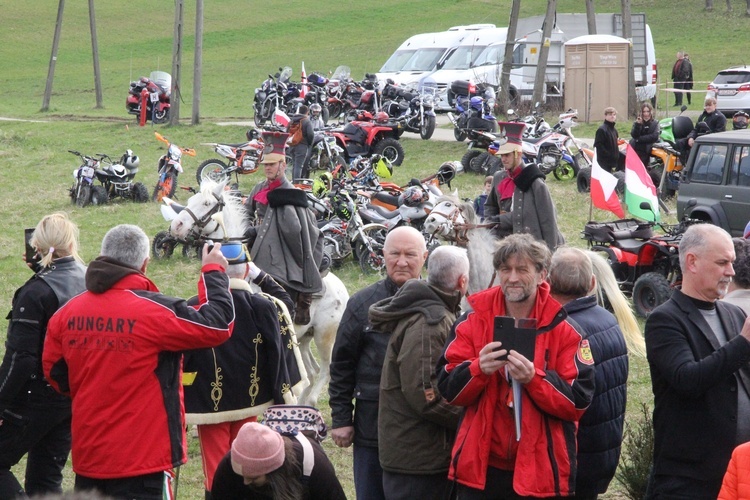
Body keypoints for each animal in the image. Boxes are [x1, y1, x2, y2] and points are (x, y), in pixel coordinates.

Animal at [167, 180, 350, 406]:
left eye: (207, 203)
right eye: (191, 200)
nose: (176, 226)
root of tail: (343, 291)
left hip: (324, 337)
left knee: (325, 371)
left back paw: (310, 401)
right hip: (304, 338)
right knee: (311, 372)